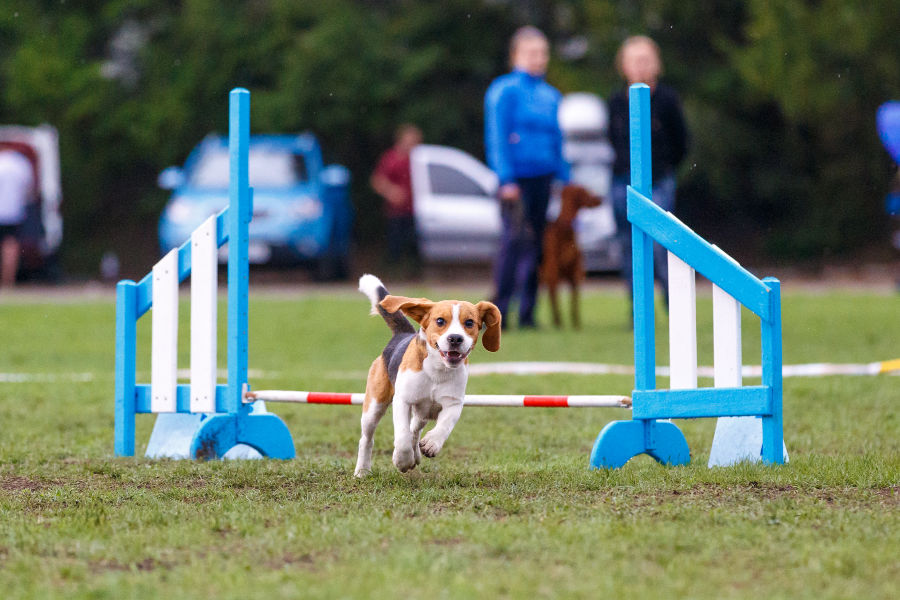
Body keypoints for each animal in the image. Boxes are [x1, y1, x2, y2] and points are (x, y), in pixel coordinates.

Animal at [356, 276, 502, 478]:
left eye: (469, 323)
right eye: (440, 321)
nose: (455, 338)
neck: (437, 370)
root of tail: (402, 335)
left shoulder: (454, 403)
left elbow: (445, 425)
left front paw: (432, 444)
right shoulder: (403, 400)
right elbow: (402, 436)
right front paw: (402, 460)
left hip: (422, 413)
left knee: (414, 429)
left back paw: (416, 453)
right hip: (374, 405)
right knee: (367, 438)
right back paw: (362, 470)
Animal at [536, 185, 600, 330]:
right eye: (586, 192)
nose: (601, 198)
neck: (565, 231)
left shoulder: (576, 274)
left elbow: (574, 303)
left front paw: (576, 325)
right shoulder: (553, 275)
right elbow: (557, 302)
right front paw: (559, 324)